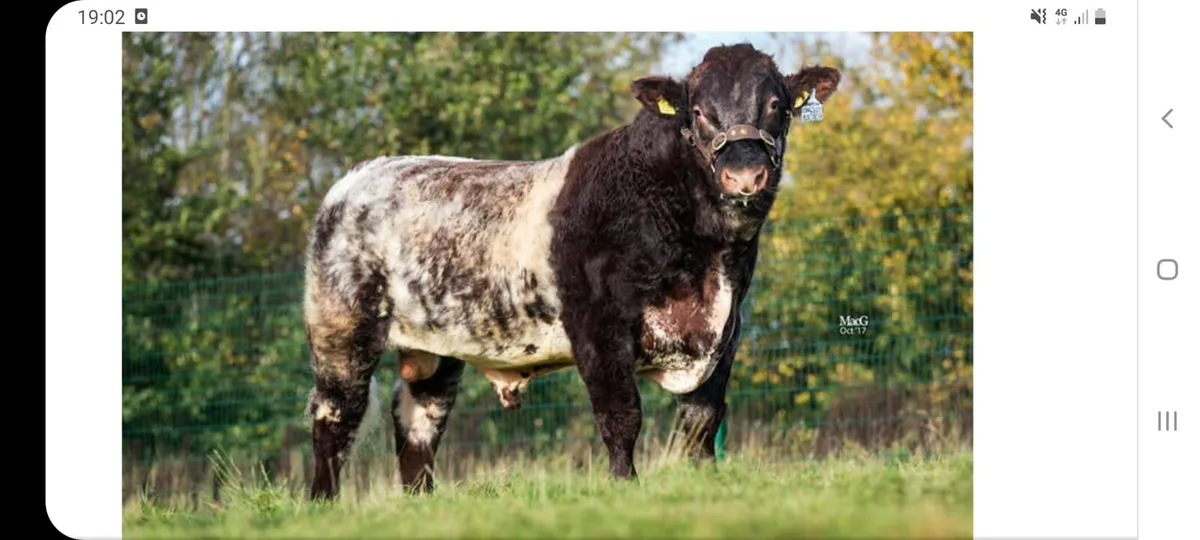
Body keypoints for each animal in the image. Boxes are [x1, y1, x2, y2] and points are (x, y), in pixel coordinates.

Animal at [302, 42, 841, 500]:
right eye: (700, 112)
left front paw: (703, 482)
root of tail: (356, 179)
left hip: (435, 348)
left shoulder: (726, 331)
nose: (745, 174)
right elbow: (621, 416)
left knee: (419, 421)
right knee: (336, 415)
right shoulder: (599, 328)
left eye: (777, 105)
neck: (707, 257)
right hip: (342, 330)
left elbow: (701, 422)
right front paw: (624, 487)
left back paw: (421, 502)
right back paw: (322, 503)